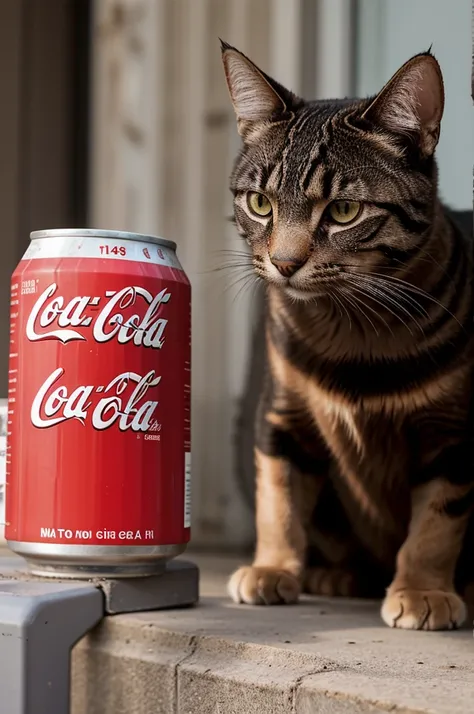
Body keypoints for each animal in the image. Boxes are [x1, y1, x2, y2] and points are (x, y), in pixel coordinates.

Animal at [221, 40, 474, 628]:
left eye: (343, 210)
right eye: (260, 203)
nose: (285, 263)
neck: (353, 337)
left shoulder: (454, 433)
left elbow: (437, 520)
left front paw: (423, 590)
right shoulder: (281, 412)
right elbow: (279, 495)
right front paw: (272, 567)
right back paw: (337, 574)